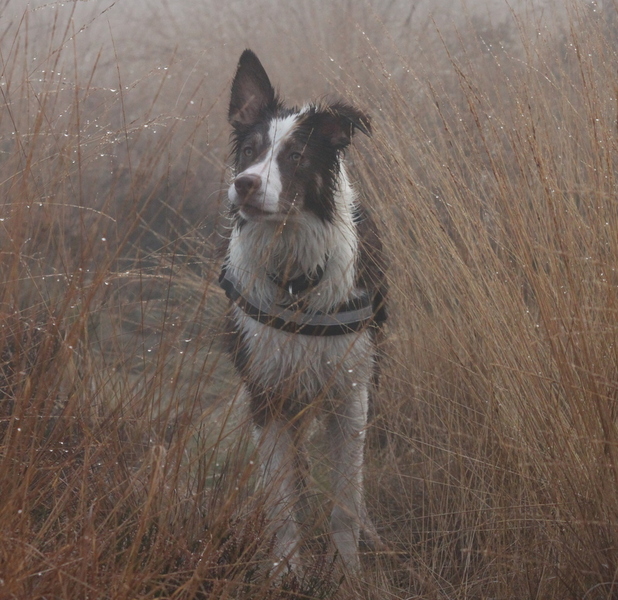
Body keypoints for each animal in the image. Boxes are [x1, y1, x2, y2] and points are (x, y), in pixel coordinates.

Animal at [219, 49, 384, 568]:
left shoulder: (351, 390)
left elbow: (347, 497)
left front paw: (349, 569)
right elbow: (280, 496)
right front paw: (286, 568)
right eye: (249, 151)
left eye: (295, 157)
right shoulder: (266, 391)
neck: (294, 277)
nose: (245, 185)